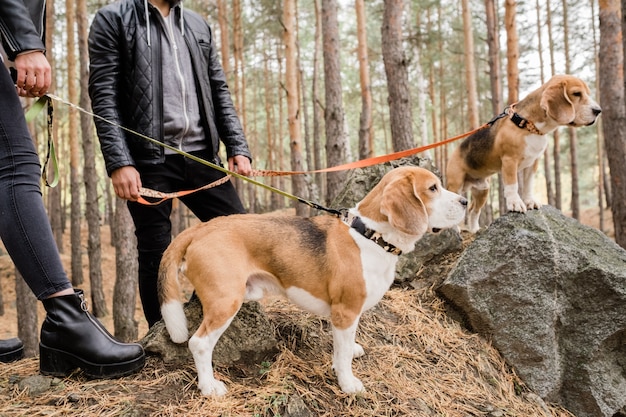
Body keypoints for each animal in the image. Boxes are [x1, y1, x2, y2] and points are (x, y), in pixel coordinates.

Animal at [158, 166, 466, 396]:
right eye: (433, 188)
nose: (466, 201)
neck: (371, 235)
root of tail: (200, 229)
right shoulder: (345, 311)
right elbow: (343, 354)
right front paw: (348, 383)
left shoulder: (344, 317)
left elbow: (343, 347)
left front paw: (347, 357)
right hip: (225, 301)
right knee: (199, 344)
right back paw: (209, 387)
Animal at [444, 73, 600, 232]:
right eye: (576, 93)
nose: (598, 111)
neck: (529, 126)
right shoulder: (509, 161)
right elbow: (513, 185)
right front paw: (515, 203)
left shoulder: (533, 162)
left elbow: (528, 184)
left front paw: (530, 201)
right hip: (456, 186)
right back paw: (455, 229)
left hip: (483, 190)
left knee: (473, 210)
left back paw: (474, 229)